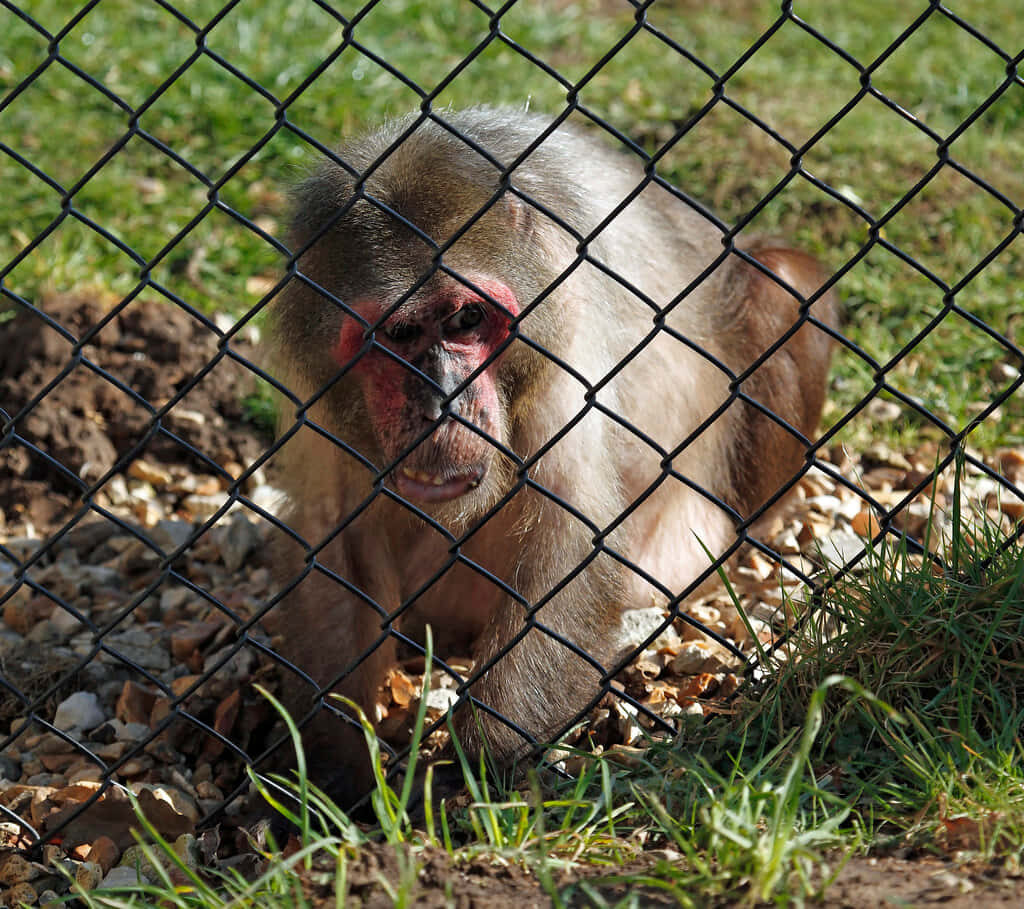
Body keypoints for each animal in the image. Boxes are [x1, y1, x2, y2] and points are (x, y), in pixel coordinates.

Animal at [265, 107, 837, 808]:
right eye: (396, 334)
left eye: (466, 319)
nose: (441, 401)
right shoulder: (311, 383)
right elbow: (328, 538)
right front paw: (332, 770)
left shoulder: (562, 336)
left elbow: (574, 536)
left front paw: (474, 768)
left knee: (779, 281)